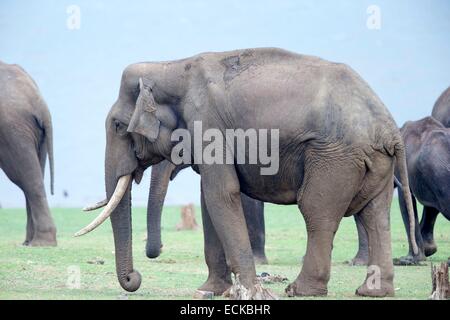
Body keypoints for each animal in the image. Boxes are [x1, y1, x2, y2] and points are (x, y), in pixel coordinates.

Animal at [0, 63, 56, 248]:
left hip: (12, 128)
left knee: (26, 178)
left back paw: (40, 243)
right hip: (35, 133)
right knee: (31, 175)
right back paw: (29, 242)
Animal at [75, 47, 416, 298]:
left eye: (118, 126)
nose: (135, 278)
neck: (172, 66)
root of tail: (388, 128)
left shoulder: (208, 123)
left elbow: (220, 194)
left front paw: (251, 292)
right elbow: (210, 199)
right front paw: (210, 291)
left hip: (335, 157)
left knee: (317, 212)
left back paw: (299, 290)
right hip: (374, 161)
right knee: (375, 215)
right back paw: (372, 291)